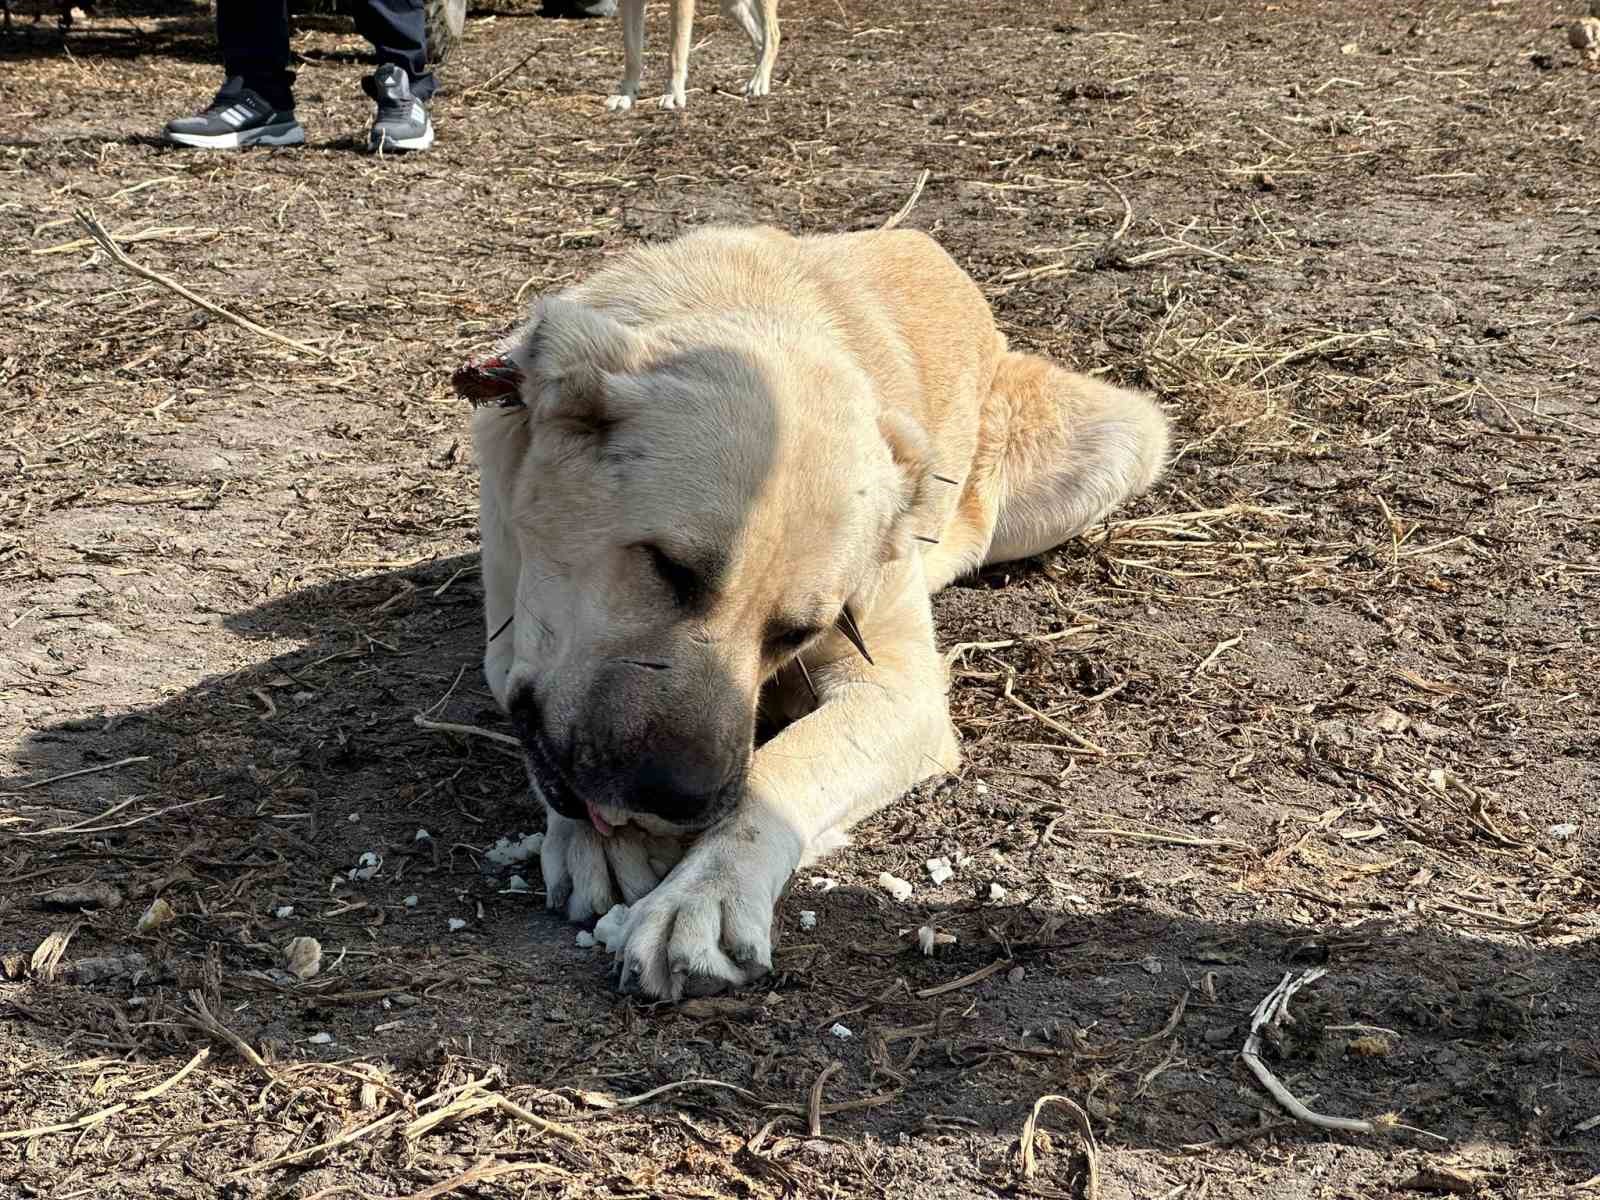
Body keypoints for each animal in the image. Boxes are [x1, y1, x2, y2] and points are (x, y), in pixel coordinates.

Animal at [467, 225, 1171, 1004]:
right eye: (669, 567)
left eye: (796, 633)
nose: (680, 800)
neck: (749, 306)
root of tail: (924, 244)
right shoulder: (507, 626)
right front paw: (602, 840)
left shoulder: (898, 693)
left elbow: (777, 772)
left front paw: (703, 894)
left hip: (1121, 443)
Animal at [604, 0, 780, 110]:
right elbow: (632, 56)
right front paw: (625, 96)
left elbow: (675, 53)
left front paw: (673, 95)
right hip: (731, 5)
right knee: (760, 39)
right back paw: (755, 81)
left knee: (773, 34)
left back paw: (759, 81)